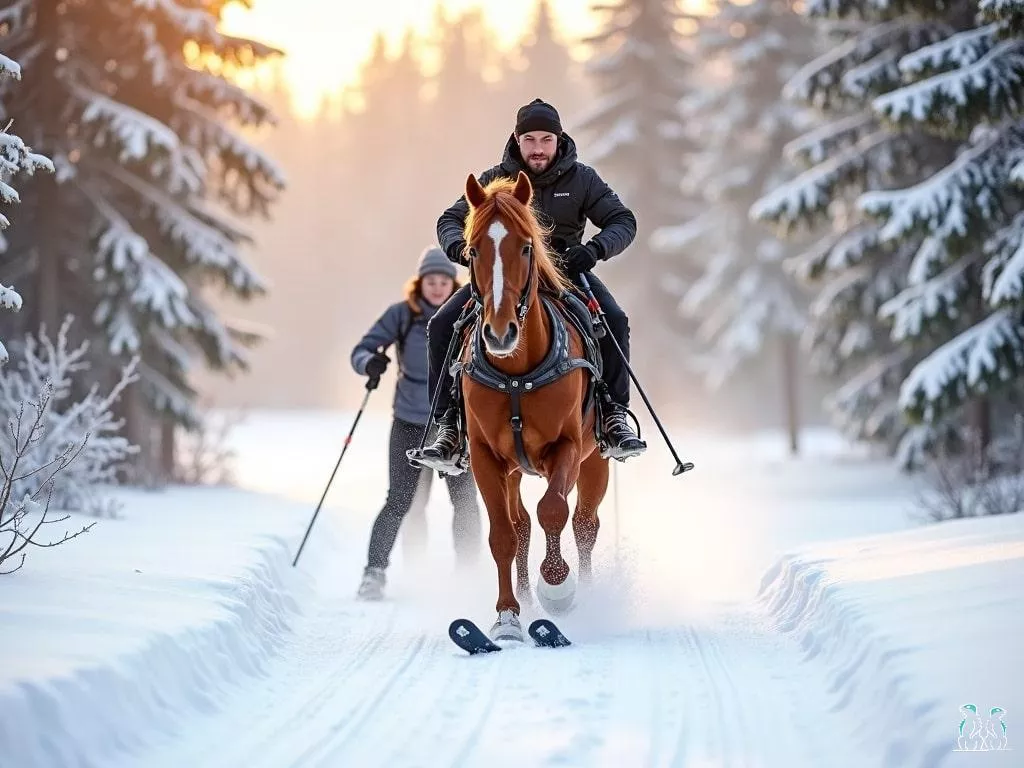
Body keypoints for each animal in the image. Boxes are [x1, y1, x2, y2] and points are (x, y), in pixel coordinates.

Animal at [454, 170, 609, 642]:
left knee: (585, 525)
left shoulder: (568, 447)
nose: (500, 332)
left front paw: (557, 585)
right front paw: (507, 615)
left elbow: (554, 510)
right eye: (472, 250)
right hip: (513, 471)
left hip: (597, 461)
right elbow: (504, 535)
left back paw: (583, 588)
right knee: (521, 526)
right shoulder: (486, 459)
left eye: (525, 246)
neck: (517, 372)